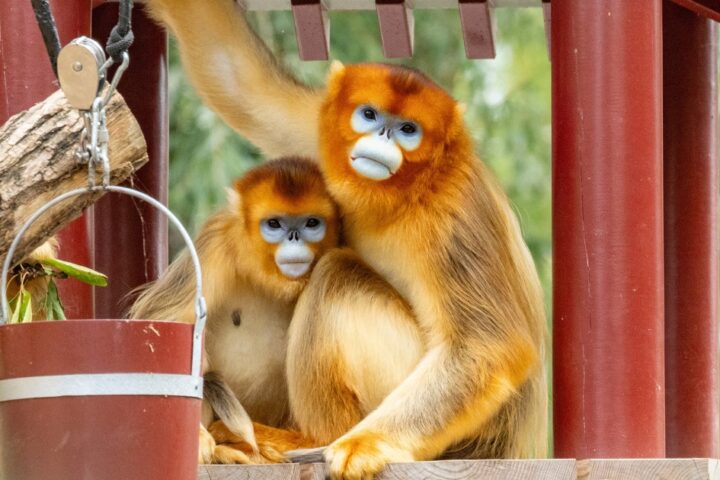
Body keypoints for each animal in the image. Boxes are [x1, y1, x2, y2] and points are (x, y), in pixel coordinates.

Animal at [128, 156, 340, 464]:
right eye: (274, 224)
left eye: (311, 223)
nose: (294, 238)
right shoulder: (216, 241)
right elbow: (161, 322)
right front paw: (197, 437)